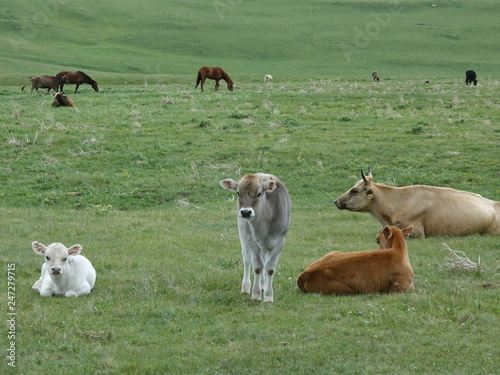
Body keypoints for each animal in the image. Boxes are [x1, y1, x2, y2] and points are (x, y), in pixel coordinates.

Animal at [221, 175, 292, 304]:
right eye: (238, 192)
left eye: (259, 193)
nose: (245, 212)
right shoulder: (253, 241)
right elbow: (258, 267)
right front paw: (256, 295)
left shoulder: (280, 241)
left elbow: (269, 268)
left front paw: (268, 296)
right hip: (243, 231)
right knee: (247, 260)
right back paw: (246, 287)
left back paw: (263, 285)